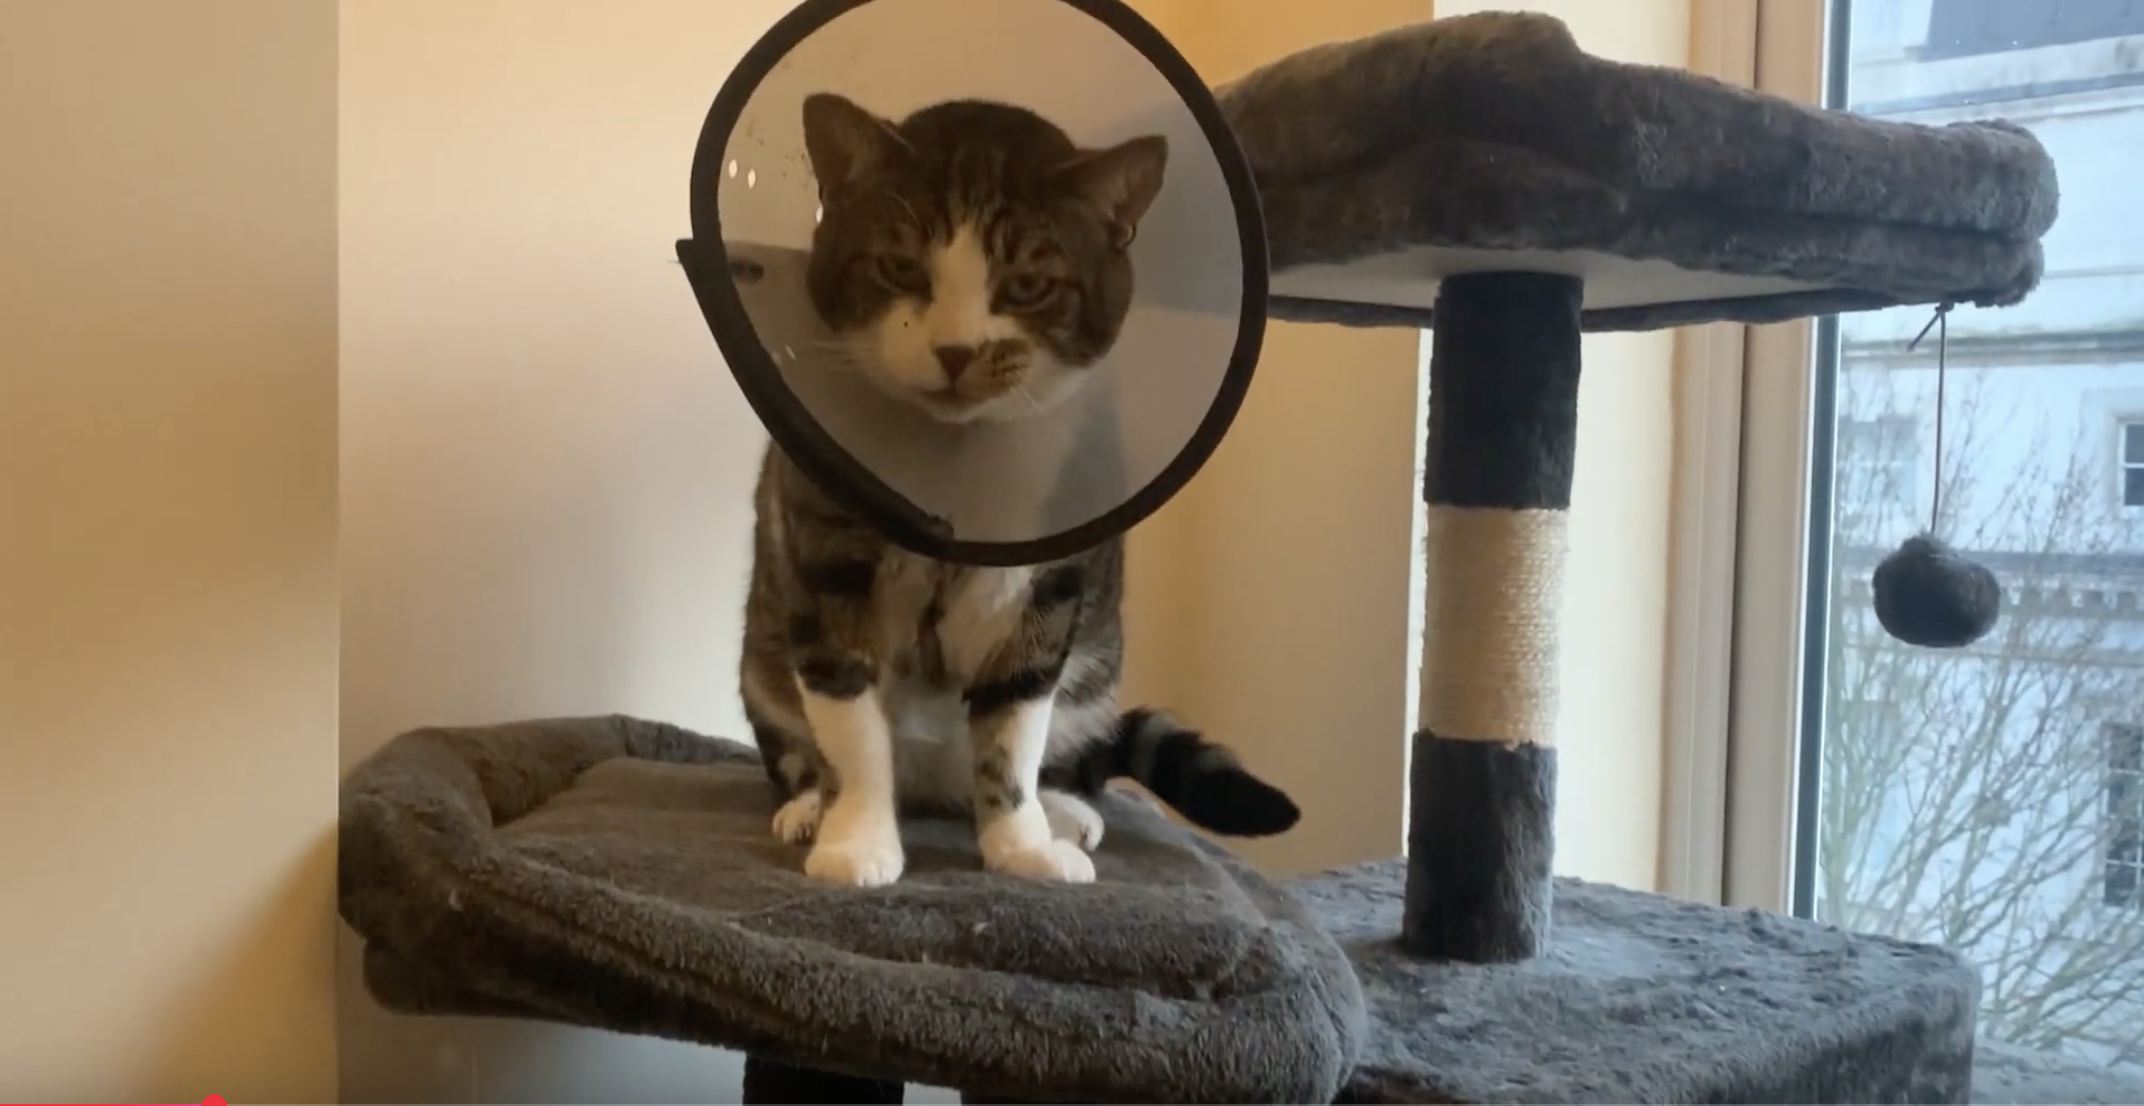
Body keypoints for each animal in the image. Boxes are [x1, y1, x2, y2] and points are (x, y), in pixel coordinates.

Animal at [746, 92, 1294, 891]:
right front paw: (857, 842)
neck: (957, 466)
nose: (956, 350)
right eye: (899, 266)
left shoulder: (1050, 582)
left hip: (1097, 668)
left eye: (1029, 284)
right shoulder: (827, 560)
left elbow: (1013, 723)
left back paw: (1065, 812)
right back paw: (807, 807)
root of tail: (932, 788)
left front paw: (1021, 847)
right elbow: (851, 718)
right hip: (760, 661)